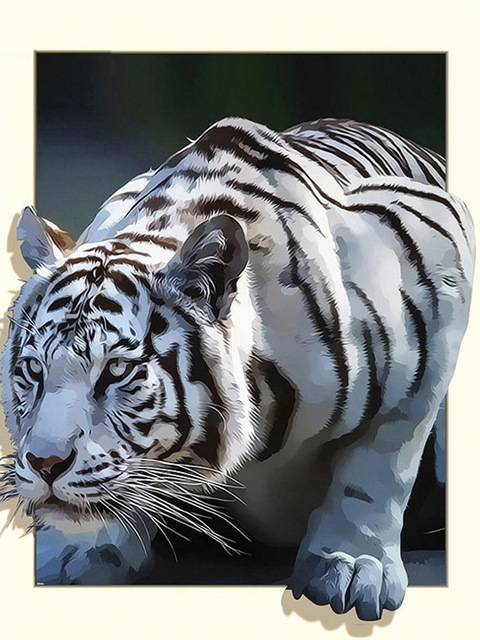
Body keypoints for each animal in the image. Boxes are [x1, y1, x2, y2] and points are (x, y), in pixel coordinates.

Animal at [0, 117, 474, 620]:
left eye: (116, 371)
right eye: (33, 370)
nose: (45, 465)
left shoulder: (440, 257)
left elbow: (382, 459)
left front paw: (350, 565)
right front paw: (79, 545)